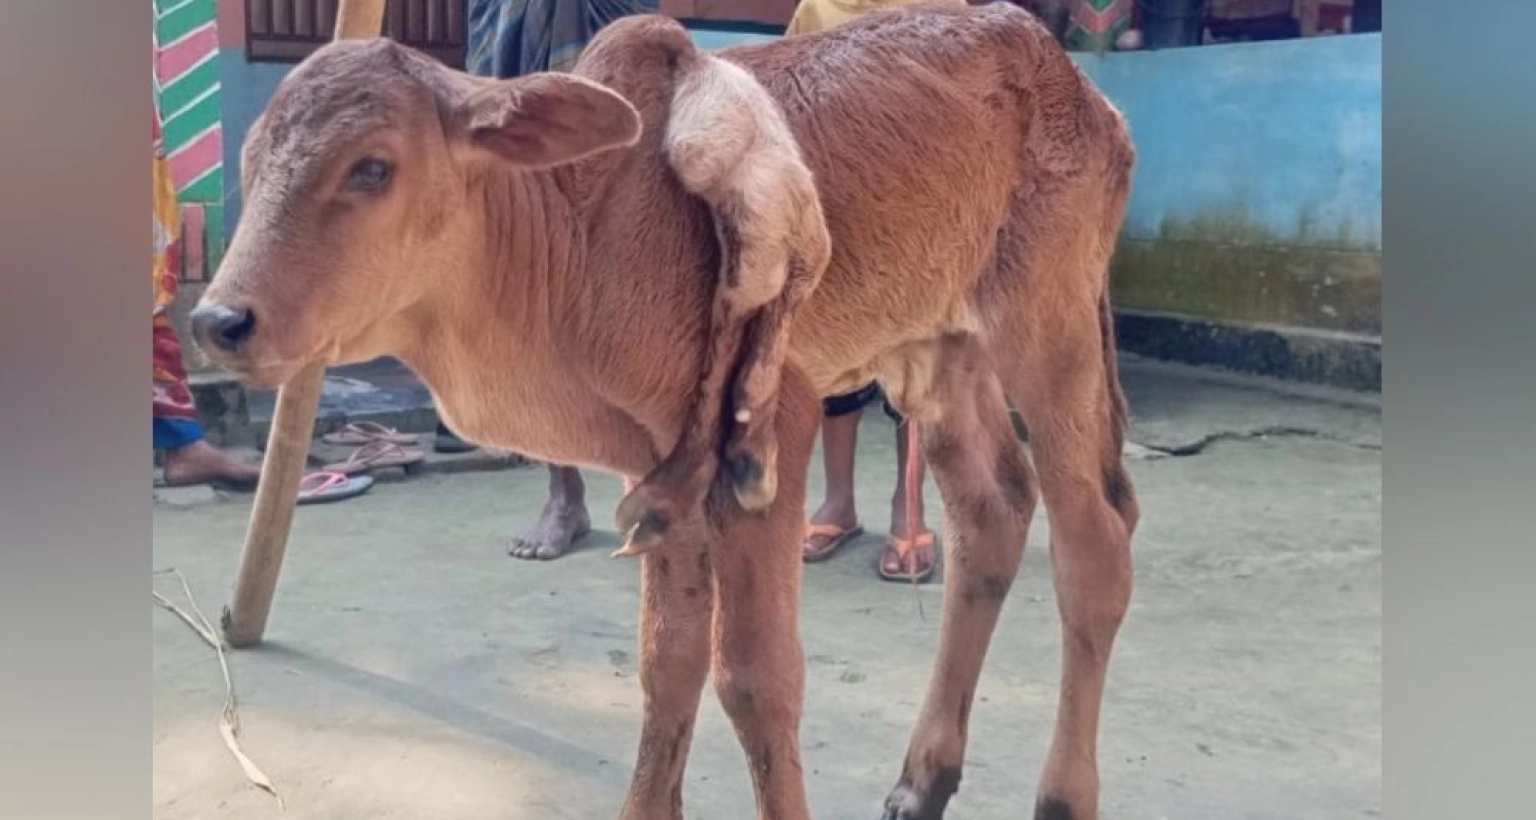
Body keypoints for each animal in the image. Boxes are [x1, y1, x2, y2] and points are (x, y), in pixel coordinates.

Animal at [192, 6, 1136, 820]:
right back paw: (924, 779)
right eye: (252, 162)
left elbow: (757, 679)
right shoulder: (664, 467)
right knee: (993, 513)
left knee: (1095, 546)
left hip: (1047, 329)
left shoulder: (771, 434)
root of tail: (1086, 92)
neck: (575, 235)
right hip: (940, 348)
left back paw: (1063, 797)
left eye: (373, 167)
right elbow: (667, 665)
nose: (219, 321)